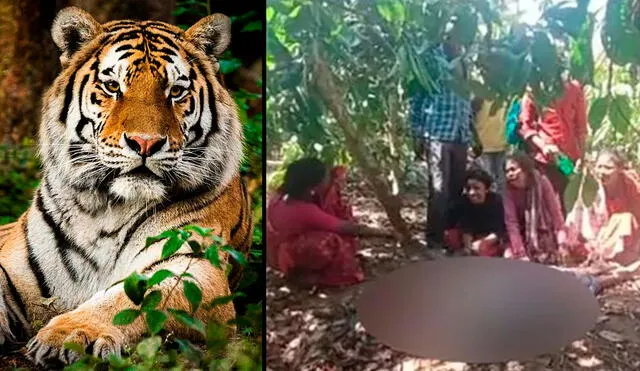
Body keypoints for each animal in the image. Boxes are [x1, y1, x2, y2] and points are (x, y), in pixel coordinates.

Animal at [0, 6, 254, 370]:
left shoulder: (193, 266)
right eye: (112, 86)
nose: (145, 143)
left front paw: (71, 335)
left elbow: (134, 298)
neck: (104, 209)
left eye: (175, 91)